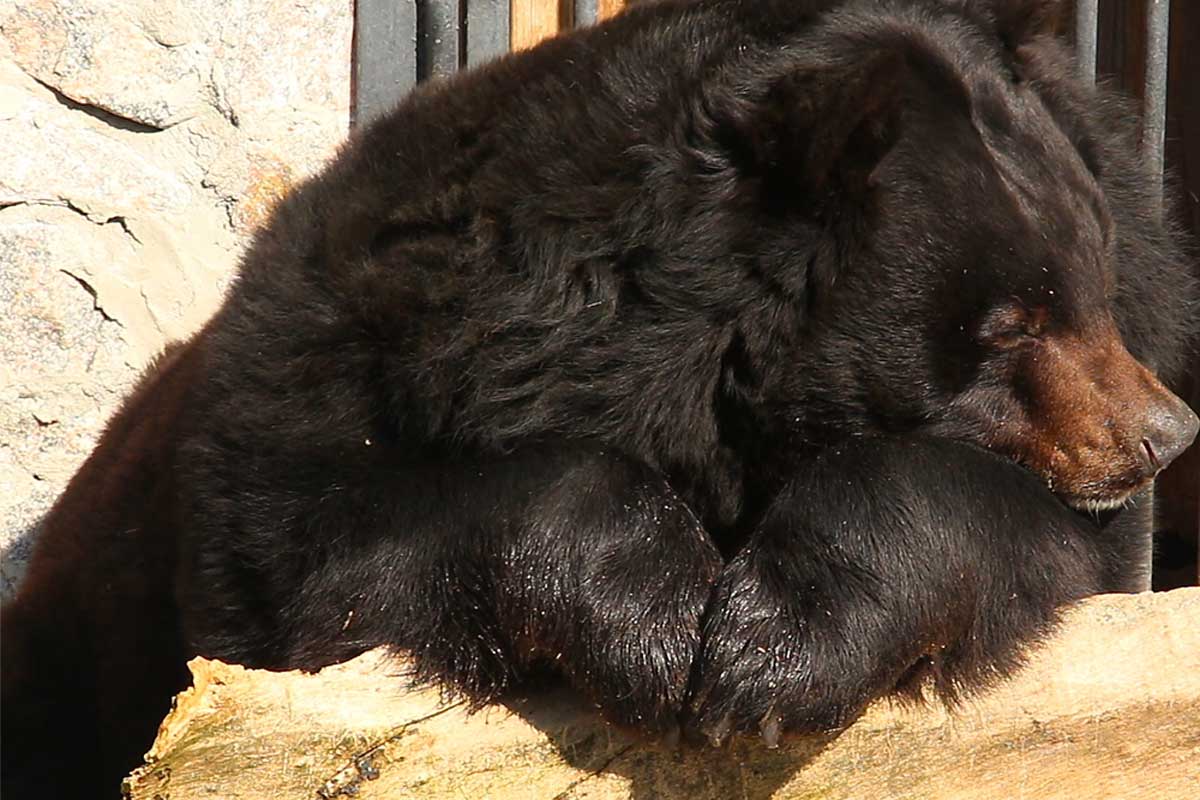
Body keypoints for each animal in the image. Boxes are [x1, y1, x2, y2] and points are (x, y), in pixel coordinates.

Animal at [2, 0, 1200, 796]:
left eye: (1093, 280)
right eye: (1011, 323)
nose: (1162, 434)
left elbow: (993, 517)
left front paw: (772, 648)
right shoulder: (342, 374)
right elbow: (340, 539)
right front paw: (667, 632)